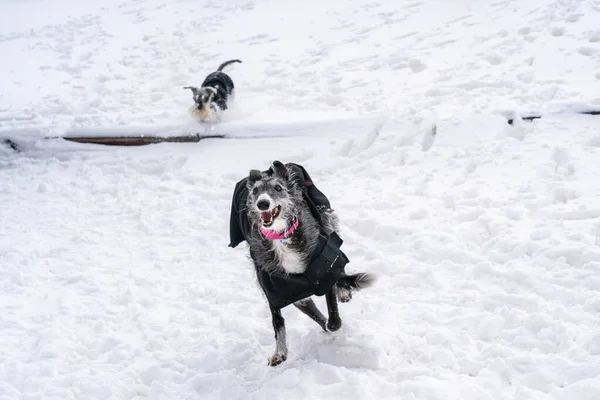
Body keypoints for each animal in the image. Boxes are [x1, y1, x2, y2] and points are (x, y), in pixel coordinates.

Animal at [230, 161, 376, 368]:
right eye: (255, 191)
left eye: (278, 188)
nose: (262, 203)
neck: (281, 237)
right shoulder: (280, 291)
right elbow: (280, 321)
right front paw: (280, 352)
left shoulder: (324, 270)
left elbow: (333, 319)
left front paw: (335, 318)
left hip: (326, 221)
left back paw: (344, 291)